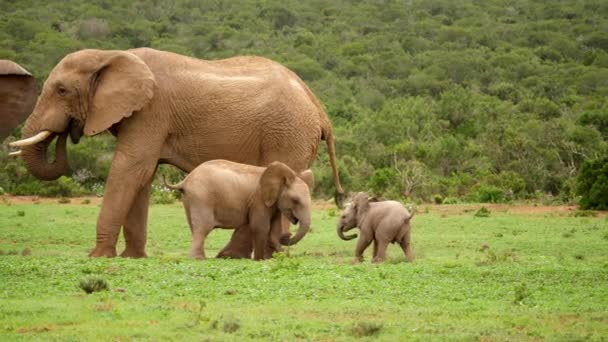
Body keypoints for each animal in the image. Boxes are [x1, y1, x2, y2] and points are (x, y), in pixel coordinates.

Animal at [165, 159, 314, 260]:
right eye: (295, 200)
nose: (288, 235)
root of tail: (185, 181)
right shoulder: (258, 200)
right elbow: (261, 227)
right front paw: (260, 260)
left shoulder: (274, 202)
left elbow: (274, 229)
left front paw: (277, 256)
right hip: (201, 197)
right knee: (203, 227)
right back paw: (199, 259)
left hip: (189, 200)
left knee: (195, 228)